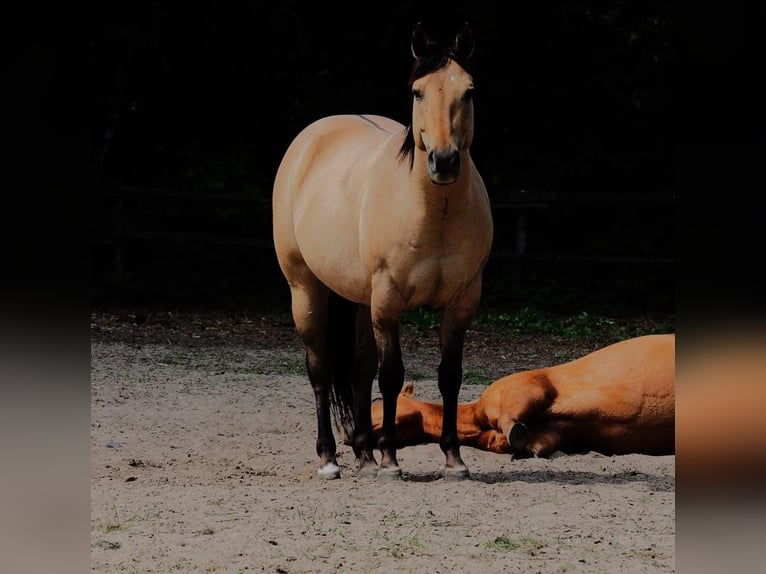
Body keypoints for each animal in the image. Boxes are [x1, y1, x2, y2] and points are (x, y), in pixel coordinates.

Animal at [272, 22, 493, 480]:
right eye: (418, 92)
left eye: (469, 91)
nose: (444, 161)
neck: (435, 213)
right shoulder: (389, 301)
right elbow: (391, 376)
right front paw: (391, 458)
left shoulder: (462, 303)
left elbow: (449, 376)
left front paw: (453, 457)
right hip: (305, 288)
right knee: (320, 367)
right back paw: (329, 458)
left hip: (360, 299)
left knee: (359, 368)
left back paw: (363, 454)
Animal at [365, 334, 675, 458]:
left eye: (376, 400)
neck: (476, 419)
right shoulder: (550, 435)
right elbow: (534, 442)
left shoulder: (524, 389)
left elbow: (512, 416)